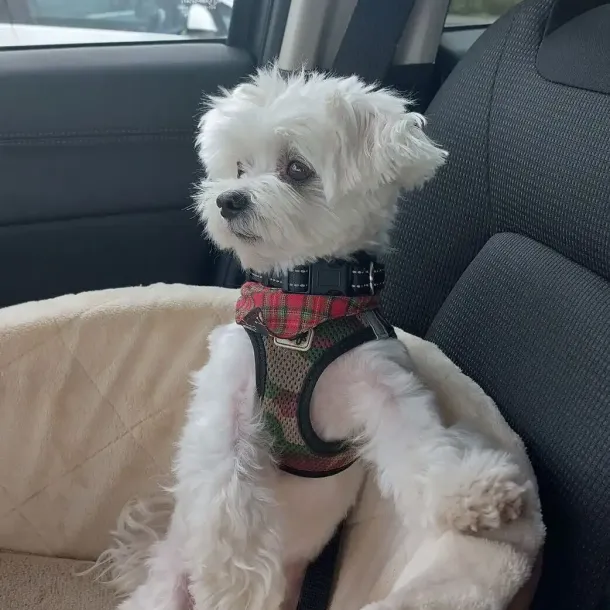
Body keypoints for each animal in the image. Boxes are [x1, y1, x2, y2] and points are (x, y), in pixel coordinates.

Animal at [108, 66, 542, 610]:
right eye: (239, 168)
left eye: (297, 168)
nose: (228, 200)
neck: (301, 312)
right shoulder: (229, 395)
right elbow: (226, 486)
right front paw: (232, 581)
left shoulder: (382, 382)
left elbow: (422, 445)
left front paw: (471, 491)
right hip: (166, 585)